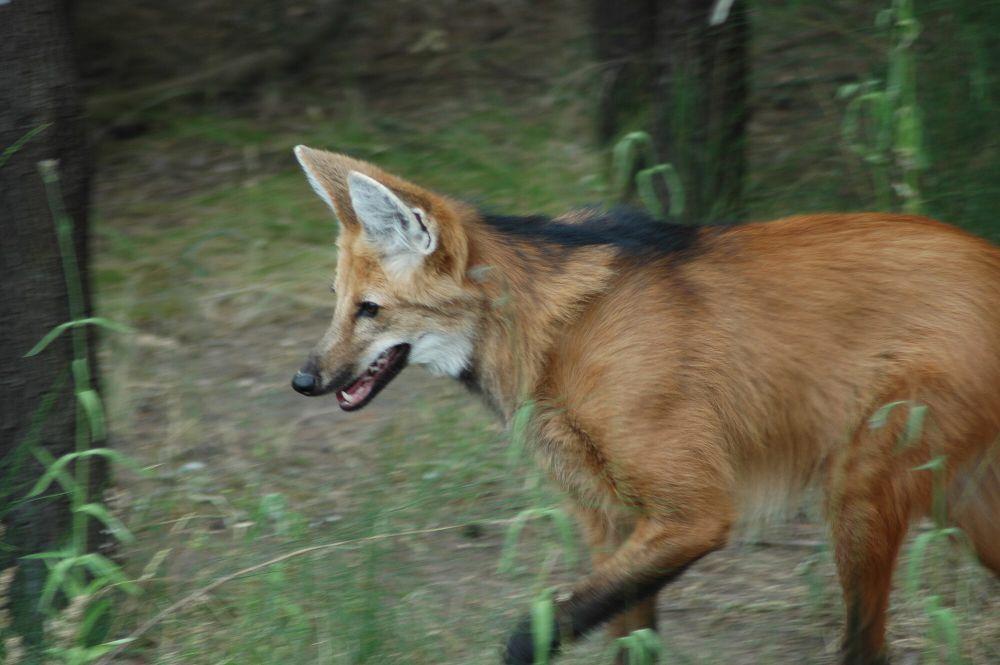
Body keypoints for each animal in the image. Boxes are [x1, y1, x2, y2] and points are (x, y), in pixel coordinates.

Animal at [290, 147, 1000, 664]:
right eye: (336, 301)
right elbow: (630, 641)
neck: (558, 334)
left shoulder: (694, 514)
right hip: (963, 501)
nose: (303, 379)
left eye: (370, 310)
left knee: (866, 647)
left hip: (860, 493)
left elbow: (533, 632)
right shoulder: (616, 520)